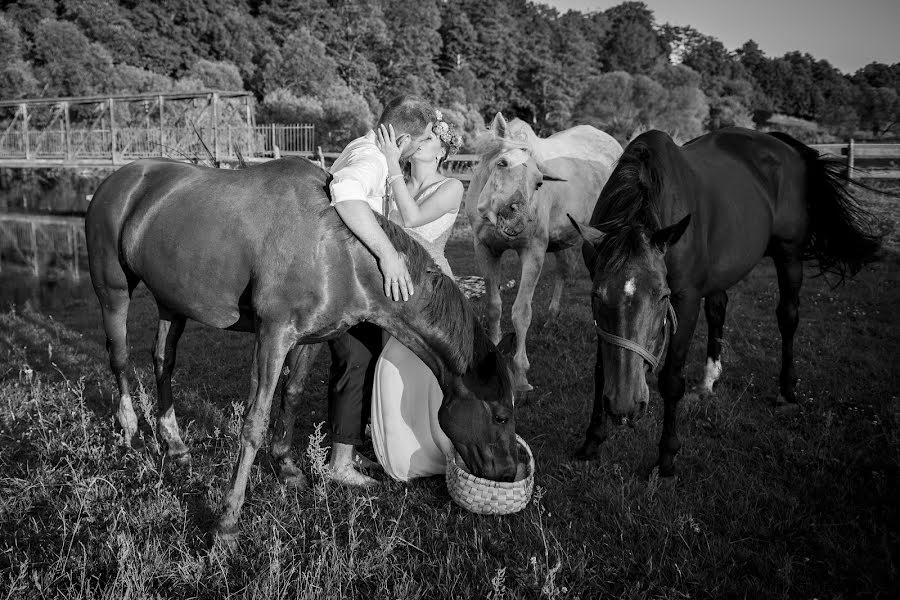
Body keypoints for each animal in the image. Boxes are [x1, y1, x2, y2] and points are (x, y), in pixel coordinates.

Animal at [87, 156, 516, 540]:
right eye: (500, 416)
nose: (509, 472)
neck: (339, 251)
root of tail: (116, 180)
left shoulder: (311, 338)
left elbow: (291, 396)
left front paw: (286, 468)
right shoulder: (273, 336)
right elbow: (254, 422)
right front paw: (226, 523)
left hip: (171, 302)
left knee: (163, 360)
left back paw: (175, 446)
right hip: (113, 292)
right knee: (119, 357)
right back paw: (129, 429)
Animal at [468, 112, 624, 394]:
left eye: (539, 182)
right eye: (502, 163)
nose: (518, 220)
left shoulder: (533, 252)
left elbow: (521, 312)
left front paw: (521, 375)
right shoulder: (485, 249)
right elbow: (494, 306)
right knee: (564, 272)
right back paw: (552, 320)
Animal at [568, 129, 880, 476]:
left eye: (663, 296)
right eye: (596, 296)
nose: (624, 406)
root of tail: (784, 146)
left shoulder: (686, 300)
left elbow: (671, 380)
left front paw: (667, 457)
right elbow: (601, 371)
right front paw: (591, 442)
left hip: (790, 255)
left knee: (788, 316)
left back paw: (787, 390)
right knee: (718, 309)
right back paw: (708, 382)